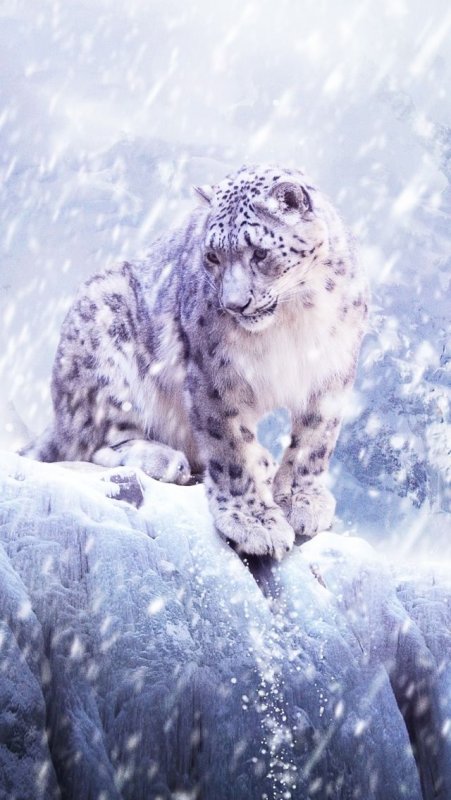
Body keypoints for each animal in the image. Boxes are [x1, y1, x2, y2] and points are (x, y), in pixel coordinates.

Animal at [22, 164, 368, 560]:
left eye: (260, 253)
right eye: (213, 256)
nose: (234, 303)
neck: (294, 318)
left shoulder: (332, 371)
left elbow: (315, 439)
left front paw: (301, 499)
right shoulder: (214, 374)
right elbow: (230, 448)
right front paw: (253, 522)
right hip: (104, 341)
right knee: (94, 441)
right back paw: (165, 460)